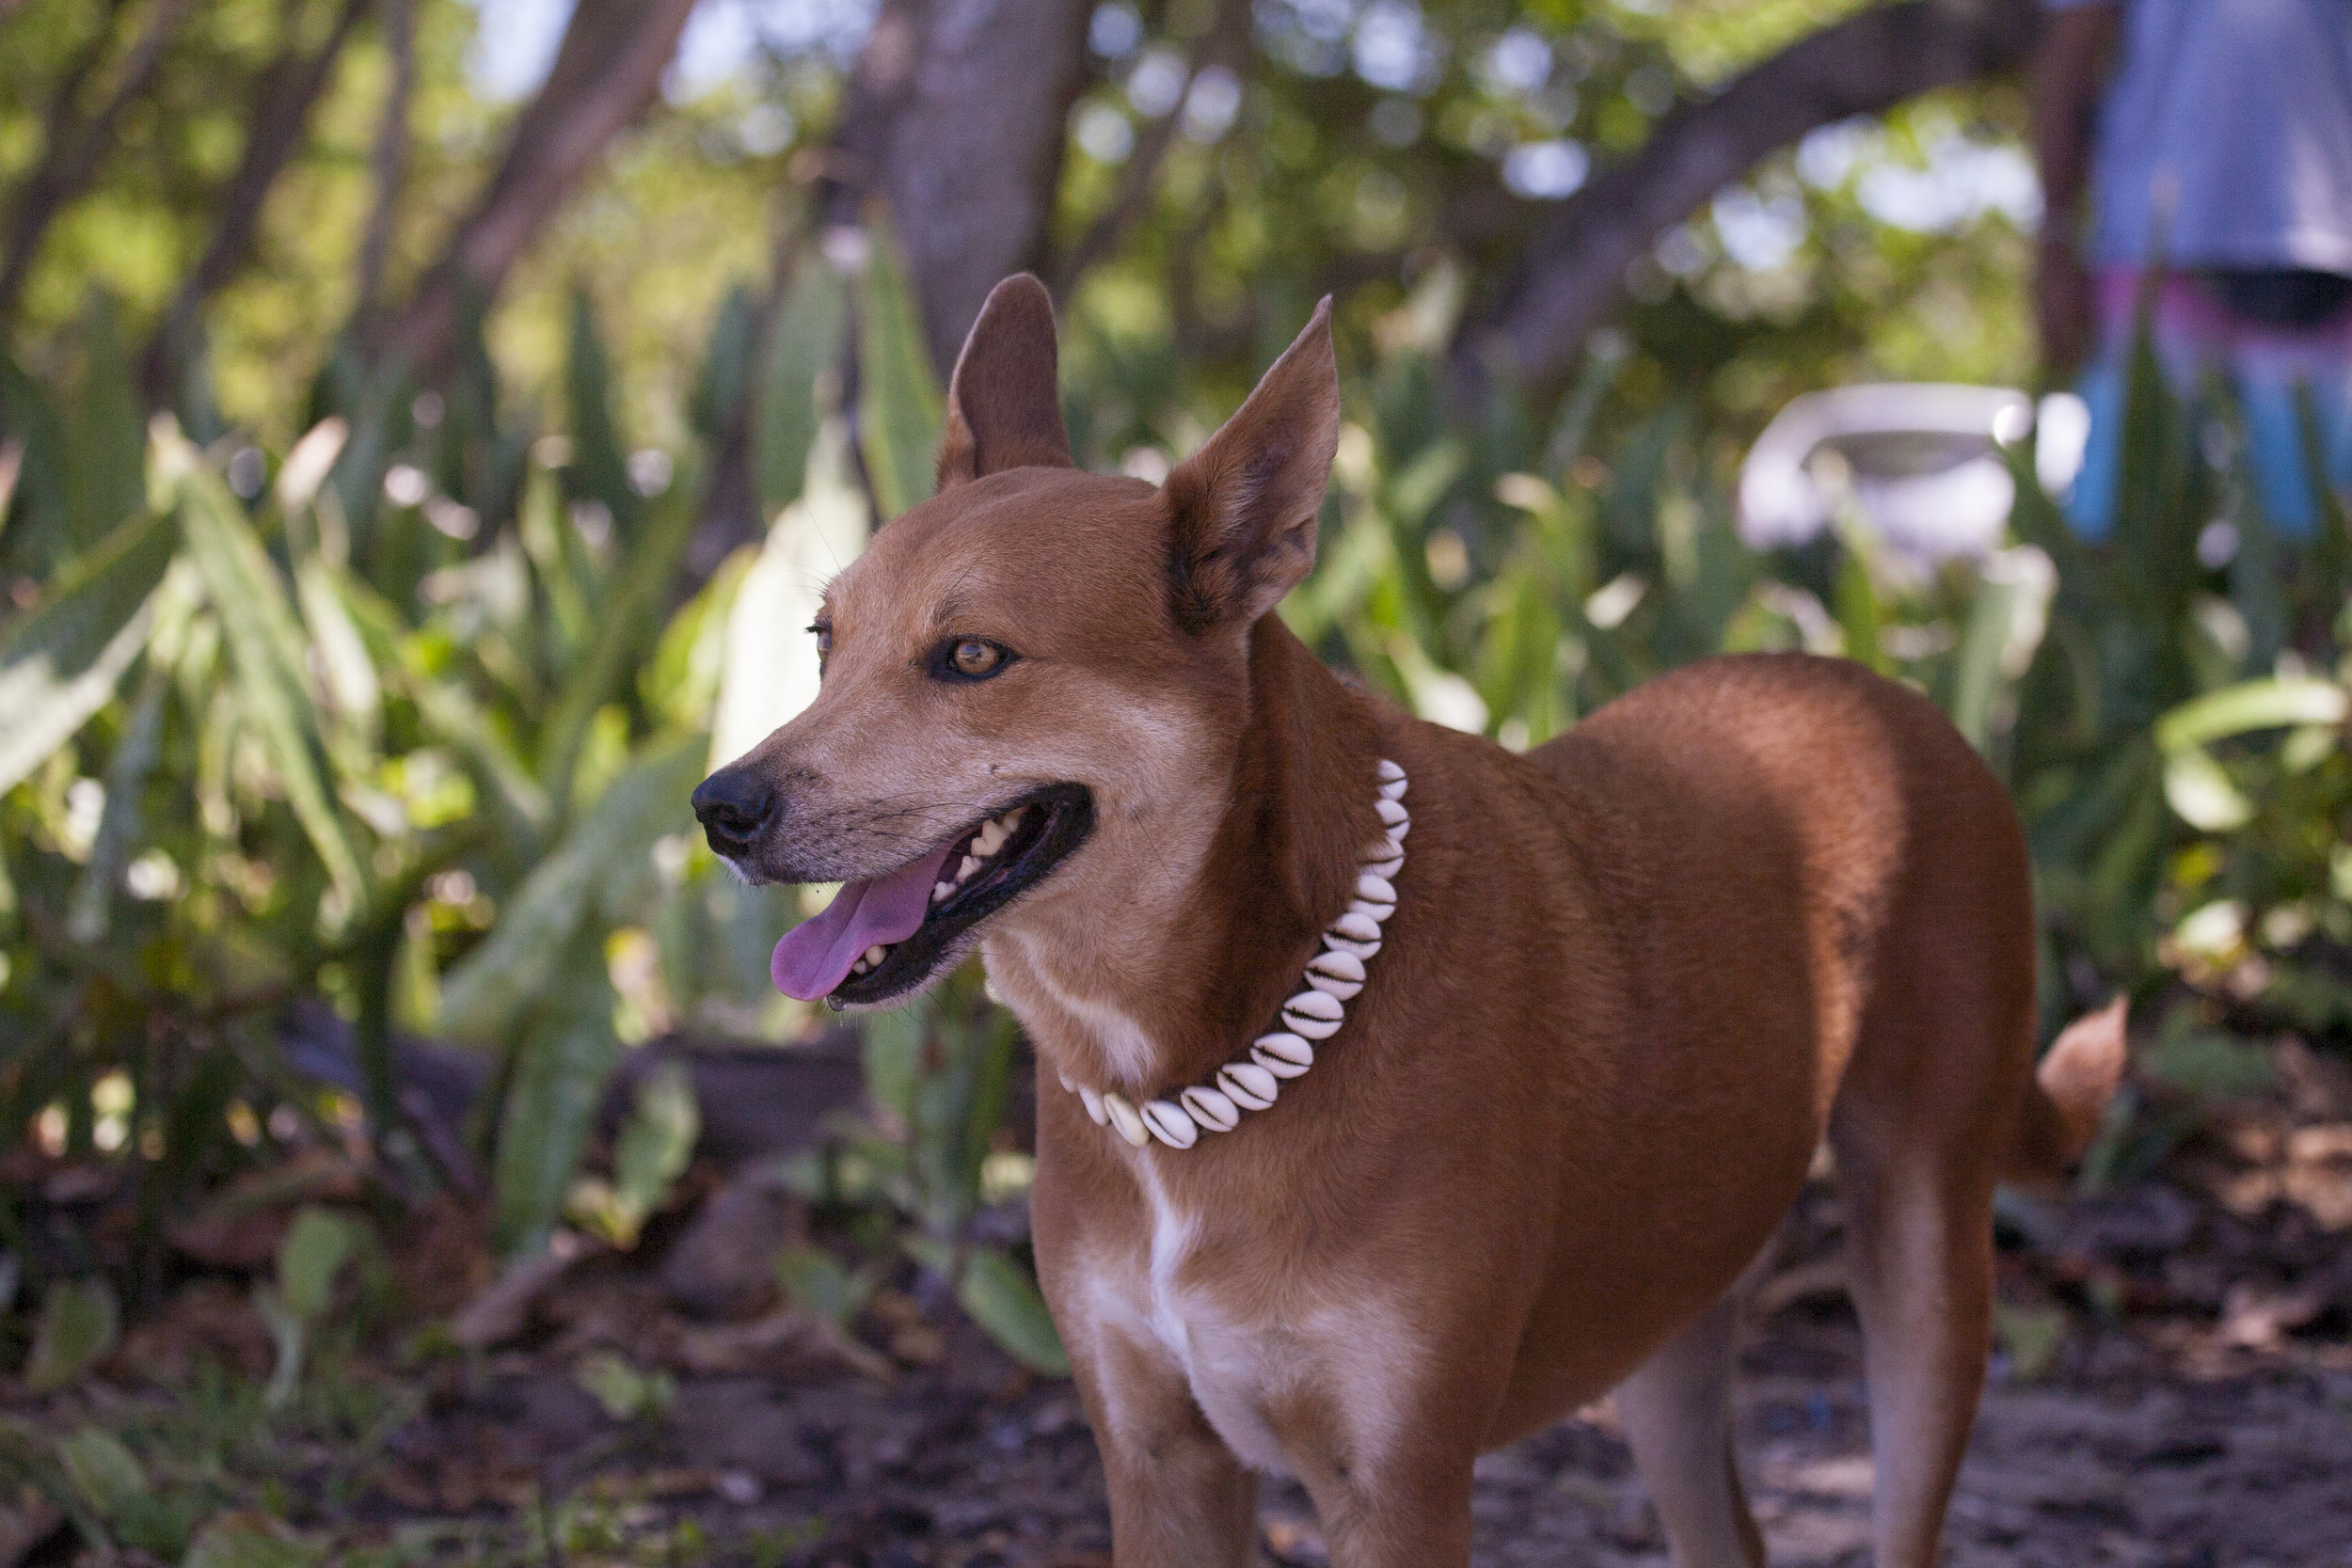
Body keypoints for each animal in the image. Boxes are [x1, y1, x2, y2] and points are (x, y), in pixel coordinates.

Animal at [696, 276, 2136, 1560]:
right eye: (821, 639)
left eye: (973, 657)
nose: (721, 804)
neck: (1193, 1059)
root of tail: (1885, 691)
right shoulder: (1159, 1466)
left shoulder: (1398, 1484)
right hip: (1669, 1311)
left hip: (1925, 1262)